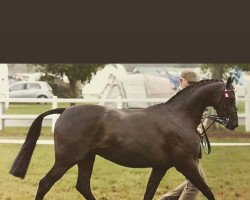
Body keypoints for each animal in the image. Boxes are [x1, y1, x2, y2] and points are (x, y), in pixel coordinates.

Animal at [9, 77, 238, 199]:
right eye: (230, 97)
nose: (234, 123)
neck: (179, 117)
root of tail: (65, 110)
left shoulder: (161, 166)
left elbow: (149, 192)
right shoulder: (186, 164)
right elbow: (207, 191)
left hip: (86, 159)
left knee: (82, 186)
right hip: (67, 160)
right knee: (45, 183)